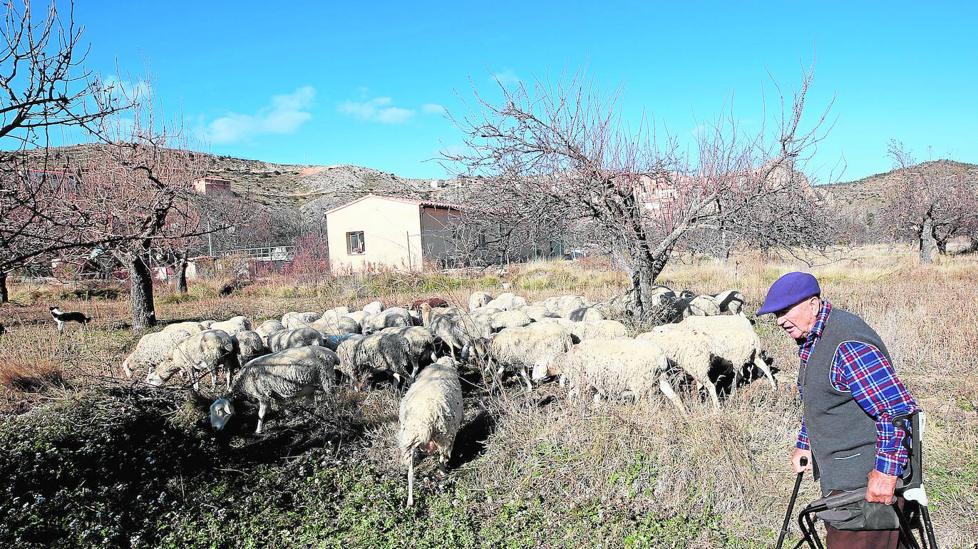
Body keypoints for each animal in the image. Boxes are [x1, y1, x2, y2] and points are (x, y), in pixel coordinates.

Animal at [208, 344, 338, 434]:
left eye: (220, 411)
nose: (214, 428)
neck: (243, 381)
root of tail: (332, 354)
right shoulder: (274, 393)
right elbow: (281, 405)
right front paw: (289, 414)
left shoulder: (262, 395)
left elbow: (261, 414)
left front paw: (258, 430)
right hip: (313, 385)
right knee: (311, 400)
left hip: (326, 378)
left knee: (333, 396)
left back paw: (334, 411)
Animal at [396, 356, 462, 506]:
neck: (442, 365)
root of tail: (424, 421)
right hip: (443, 434)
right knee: (442, 457)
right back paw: (443, 472)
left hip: (409, 440)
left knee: (410, 472)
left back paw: (410, 501)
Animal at [552, 336, 684, 414]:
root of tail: (660, 358)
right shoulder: (593, 384)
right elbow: (589, 397)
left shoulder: (583, 382)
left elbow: (578, 396)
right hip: (660, 379)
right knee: (675, 397)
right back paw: (684, 416)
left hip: (640, 383)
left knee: (645, 405)